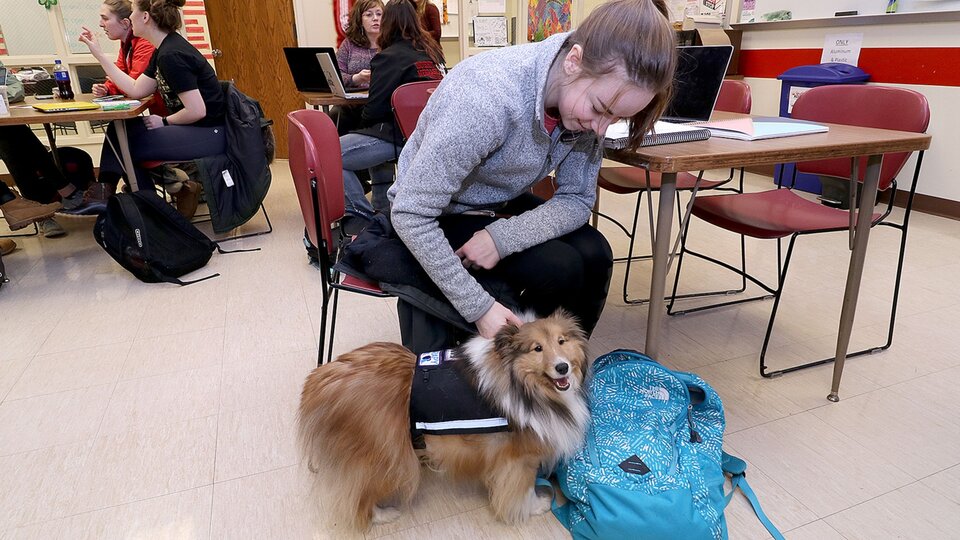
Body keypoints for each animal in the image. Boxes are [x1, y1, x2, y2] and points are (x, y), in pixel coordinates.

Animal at [296, 310, 588, 528]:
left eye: (562, 341)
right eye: (537, 348)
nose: (562, 367)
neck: (522, 384)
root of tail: (317, 382)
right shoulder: (519, 459)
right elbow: (521, 490)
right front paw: (536, 506)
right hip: (387, 457)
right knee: (359, 496)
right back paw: (384, 515)